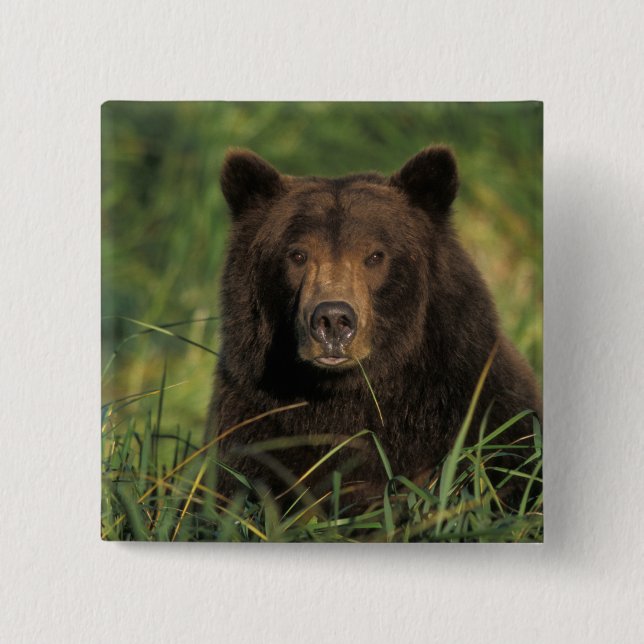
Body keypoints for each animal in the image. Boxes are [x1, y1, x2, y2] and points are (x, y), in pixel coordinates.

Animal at [205, 145, 541, 504]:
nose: (333, 320)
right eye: (297, 255)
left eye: (376, 256)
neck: (348, 393)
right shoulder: (256, 425)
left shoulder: (477, 410)